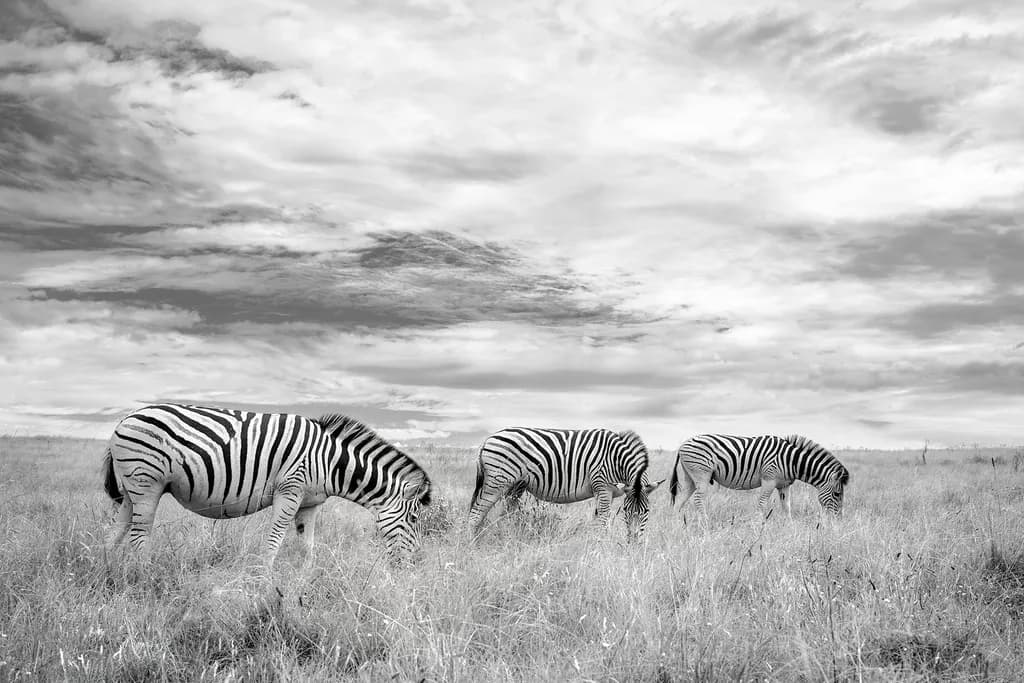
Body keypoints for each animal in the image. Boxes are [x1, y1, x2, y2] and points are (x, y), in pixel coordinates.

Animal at [102, 404, 432, 574]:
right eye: (415, 520)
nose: (415, 563)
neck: (330, 461)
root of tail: (125, 418)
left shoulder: (310, 502)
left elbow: (307, 545)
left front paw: (304, 580)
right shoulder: (290, 490)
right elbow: (274, 541)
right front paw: (263, 580)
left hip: (132, 489)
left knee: (115, 532)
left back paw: (105, 569)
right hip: (147, 482)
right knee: (139, 536)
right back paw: (146, 575)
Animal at [467, 427, 662, 540]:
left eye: (647, 511)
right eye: (627, 511)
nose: (634, 542)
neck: (617, 460)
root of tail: (488, 439)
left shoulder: (606, 491)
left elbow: (598, 518)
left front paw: (594, 544)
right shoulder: (602, 486)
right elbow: (603, 520)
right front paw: (603, 547)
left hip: (516, 485)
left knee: (504, 513)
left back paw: (507, 536)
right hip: (497, 481)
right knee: (476, 513)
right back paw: (471, 543)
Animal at [669, 434, 850, 518]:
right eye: (837, 494)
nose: (838, 520)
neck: (791, 460)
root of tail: (682, 445)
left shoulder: (784, 485)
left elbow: (787, 507)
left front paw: (790, 528)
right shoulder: (769, 479)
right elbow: (762, 505)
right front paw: (758, 526)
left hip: (690, 477)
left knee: (679, 501)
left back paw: (676, 524)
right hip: (702, 474)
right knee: (697, 500)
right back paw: (705, 523)